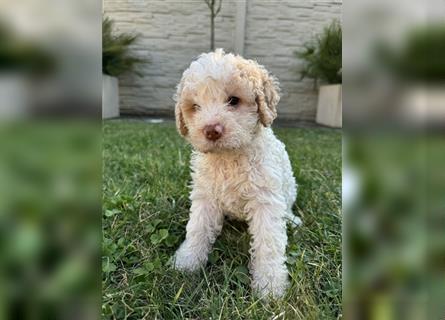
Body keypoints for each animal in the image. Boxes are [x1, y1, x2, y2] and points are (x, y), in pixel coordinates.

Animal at [172, 49, 300, 298]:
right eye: (196, 106)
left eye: (234, 100)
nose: (211, 130)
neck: (228, 157)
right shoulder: (205, 196)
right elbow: (197, 228)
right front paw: (187, 261)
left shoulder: (266, 199)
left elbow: (269, 242)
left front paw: (270, 285)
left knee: (287, 210)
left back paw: (292, 219)